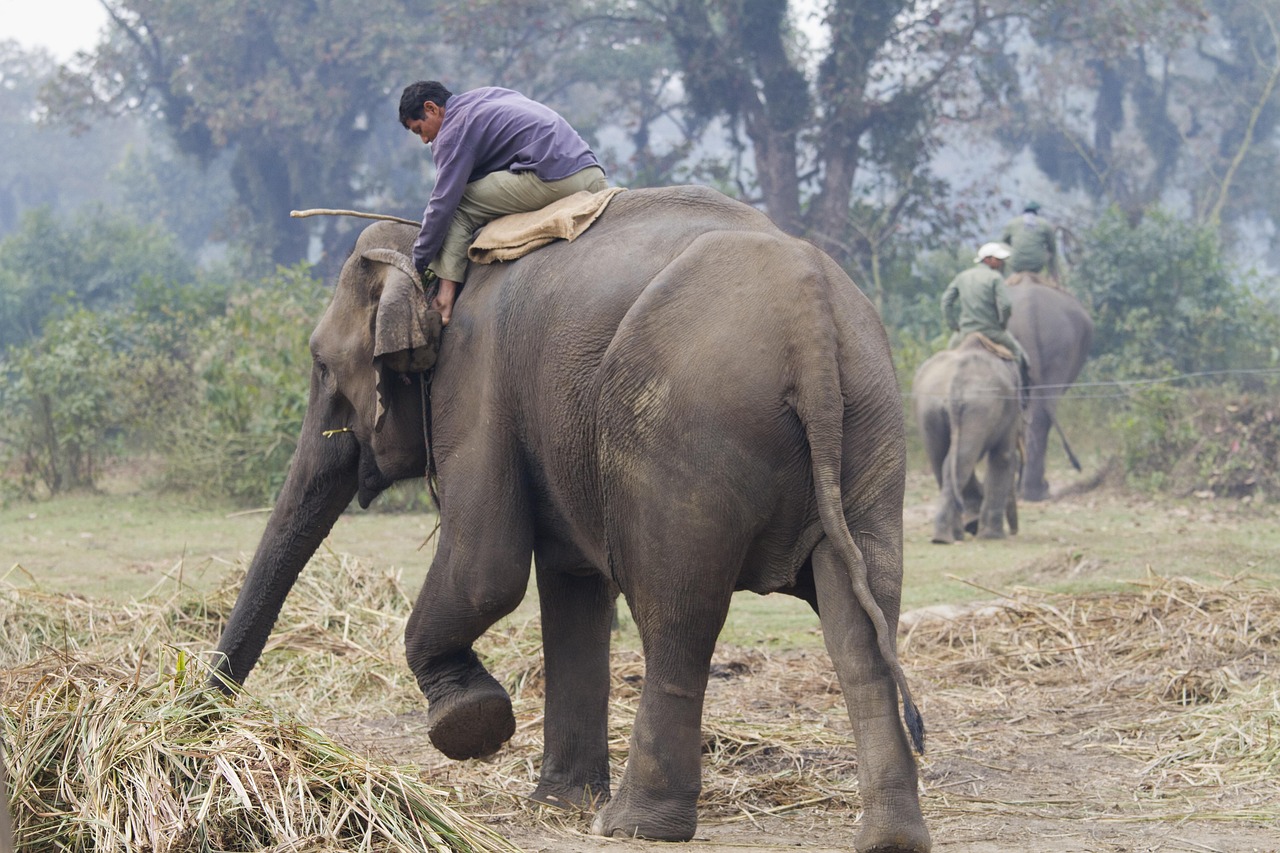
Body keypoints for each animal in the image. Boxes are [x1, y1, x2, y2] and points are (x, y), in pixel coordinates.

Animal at [207, 183, 931, 845]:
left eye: (320, 365)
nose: (202, 722)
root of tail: (810, 322)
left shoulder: (475, 382)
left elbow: (487, 570)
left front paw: (472, 722)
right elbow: (570, 583)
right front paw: (557, 802)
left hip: (687, 432)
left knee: (676, 614)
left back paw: (635, 825)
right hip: (871, 420)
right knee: (862, 620)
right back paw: (890, 838)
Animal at [911, 335, 1018, 540]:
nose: (1014, 531)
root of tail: (954, 382)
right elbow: (1003, 456)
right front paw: (992, 536)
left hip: (928, 408)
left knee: (942, 461)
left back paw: (948, 536)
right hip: (979, 408)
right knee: (961, 461)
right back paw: (948, 537)